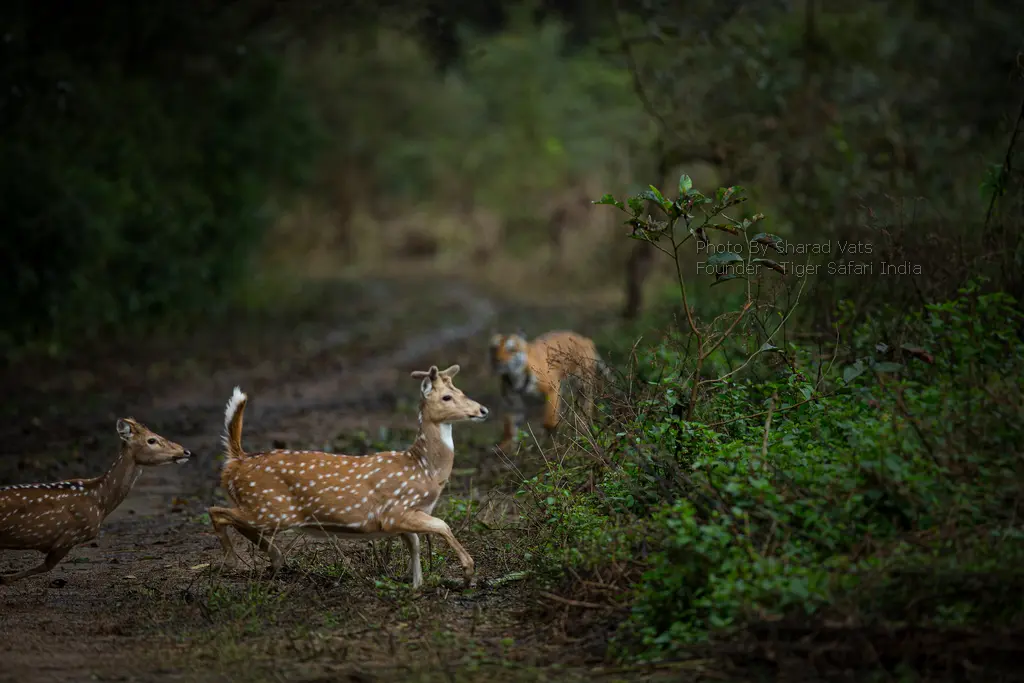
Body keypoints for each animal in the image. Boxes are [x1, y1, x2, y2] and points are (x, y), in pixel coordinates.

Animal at [0, 418, 192, 585]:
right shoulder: (69, 536)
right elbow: (45, 566)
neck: (100, 501)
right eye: (152, 440)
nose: (185, 451)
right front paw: (4, 579)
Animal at [208, 363, 490, 589]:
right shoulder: (395, 511)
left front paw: (416, 586)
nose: (483, 410)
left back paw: (275, 559)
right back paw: (234, 561)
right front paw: (468, 574)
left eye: (462, 392)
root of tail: (237, 461)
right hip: (269, 507)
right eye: (446, 397)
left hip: (264, 508)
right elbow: (442, 525)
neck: (423, 468)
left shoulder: (407, 515)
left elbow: (415, 544)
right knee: (217, 511)